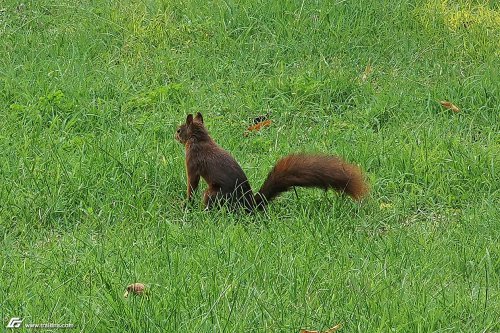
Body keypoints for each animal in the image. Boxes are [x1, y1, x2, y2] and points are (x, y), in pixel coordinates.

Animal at [175, 111, 368, 210]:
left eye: (179, 130)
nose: (174, 136)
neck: (200, 139)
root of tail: (250, 205)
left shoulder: (192, 160)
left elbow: (192, 182)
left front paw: (187, 202)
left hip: (215, 194)